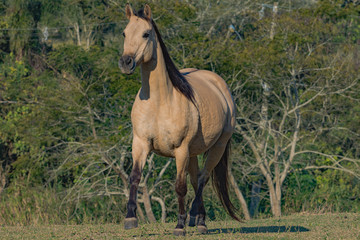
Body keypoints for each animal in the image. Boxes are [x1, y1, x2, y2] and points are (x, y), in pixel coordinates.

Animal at [118, 4, 240, 236]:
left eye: (146, 34)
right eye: (124, 33)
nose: (126, 63)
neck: (159, 102)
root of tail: (220, 85)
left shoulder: (180, 149)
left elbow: (179, 187)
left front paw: (179, 225)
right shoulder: (140, 143)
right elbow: (135, 176)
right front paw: (130, 218)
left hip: (216, 147)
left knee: (202, 179)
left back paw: (194, 218)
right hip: (193, 153)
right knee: (195, 179)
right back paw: (199, 219)